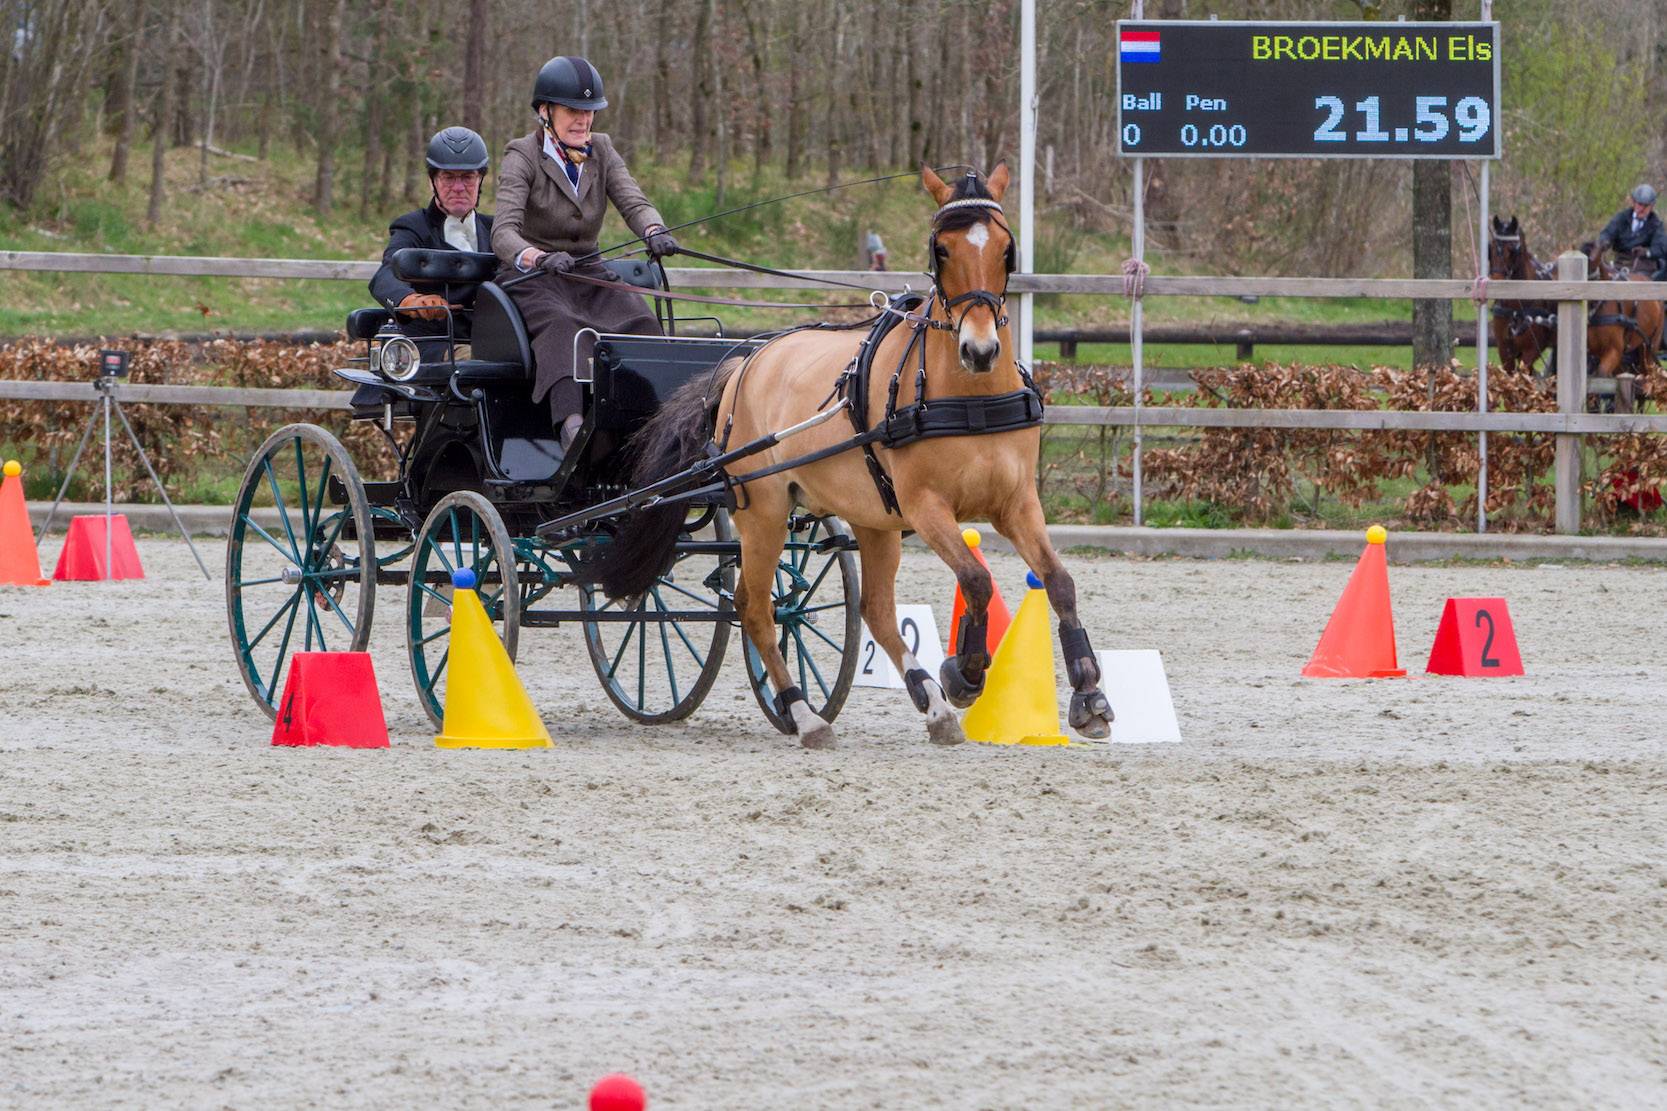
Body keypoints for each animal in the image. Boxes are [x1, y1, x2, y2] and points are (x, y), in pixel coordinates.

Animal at [593, 163, 1114, 749]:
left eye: (1008, 250)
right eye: (941, 249)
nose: (979, 351)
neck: (968, 396)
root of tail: (747, 361)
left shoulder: (1016, 503)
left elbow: (1060, 582)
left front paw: (1089, 695)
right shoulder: (925, 507)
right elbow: (977, 581)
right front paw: (966, 673)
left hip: (873, 520)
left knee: (875, 611)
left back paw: (929, 704)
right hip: (764, 512)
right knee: (756, 608)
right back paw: (805, 713)